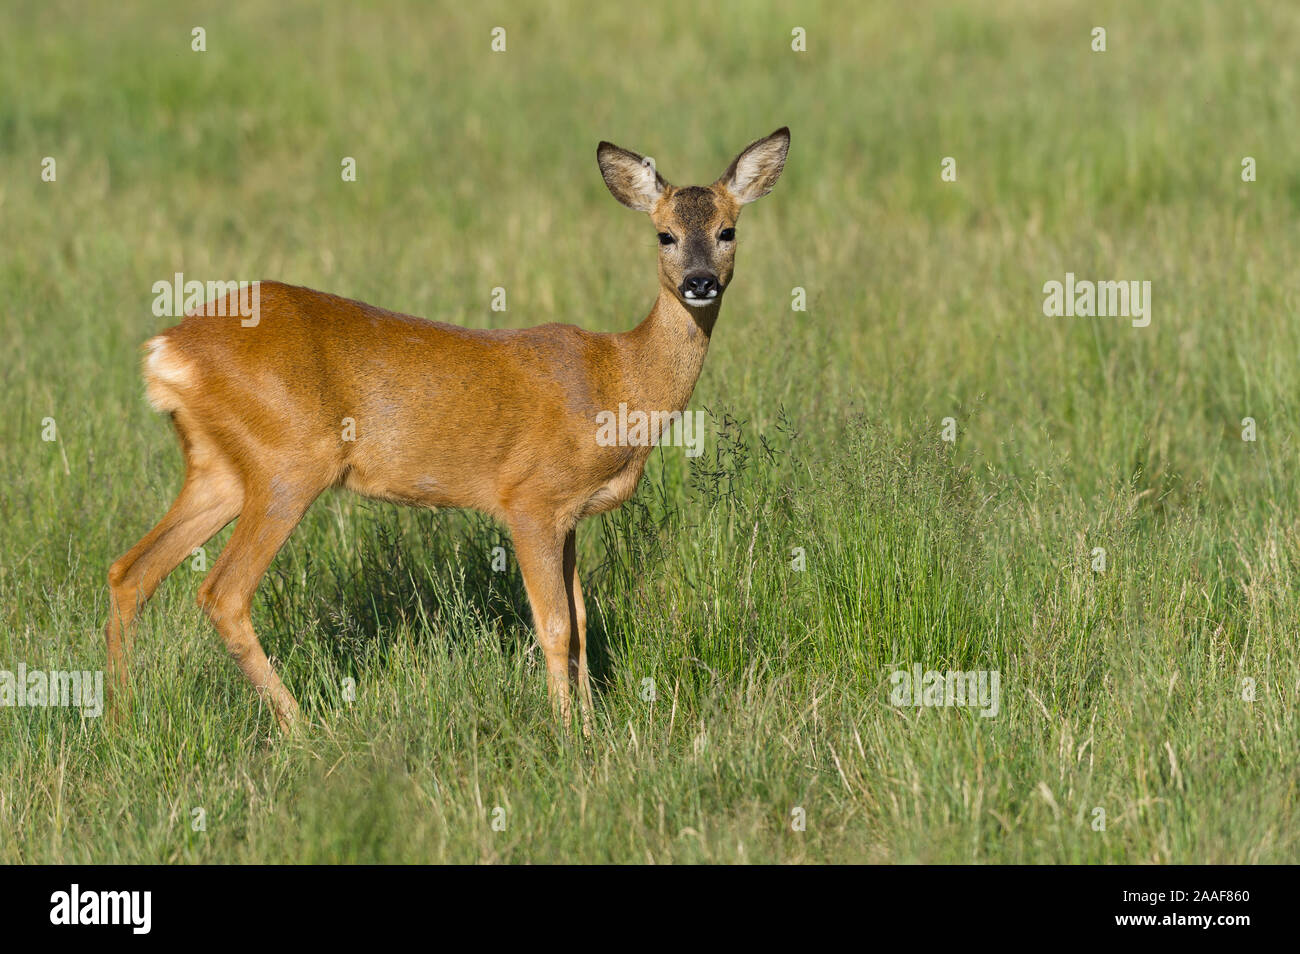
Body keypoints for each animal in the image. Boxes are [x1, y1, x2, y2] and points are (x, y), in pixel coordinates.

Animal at [101, 128, 785, 738]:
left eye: (728, 230)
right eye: (664, 234)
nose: (700, 282)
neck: (618, 377)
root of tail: (165, 352)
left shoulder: (569, 515)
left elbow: (584, 623)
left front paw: (594, 729)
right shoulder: (530, 498)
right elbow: (555, 625)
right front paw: (567, 736)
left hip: (220, 469)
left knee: (129, 571)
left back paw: (119, 724)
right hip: (286, 463)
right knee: (220, 594)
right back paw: (303, 730)